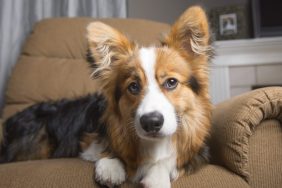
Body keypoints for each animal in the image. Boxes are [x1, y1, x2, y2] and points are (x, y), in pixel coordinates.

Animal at [0, 5, 212, 188]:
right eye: (133, 86)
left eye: (171, 82)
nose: (151, 123)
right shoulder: (88, 139)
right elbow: (108, 147)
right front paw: (111, 167)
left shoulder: (195, 152)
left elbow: (168, 161)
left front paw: (157, 178)